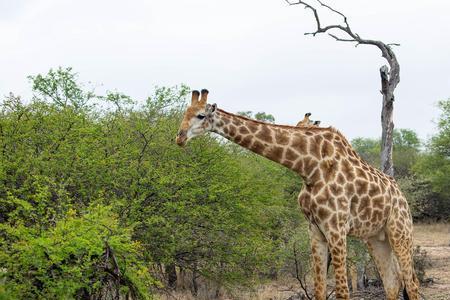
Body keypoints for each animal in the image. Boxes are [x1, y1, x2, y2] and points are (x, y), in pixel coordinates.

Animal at [175, 89, 418, 300]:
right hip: (376, 237)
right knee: (393, 282)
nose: (179, 137)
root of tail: (402, 197)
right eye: (184, 113)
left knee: (412, 283)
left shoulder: (337, 228)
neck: (310, 168)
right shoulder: (315, 229)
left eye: (200, 115)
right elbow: (319, 290)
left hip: (400, 232)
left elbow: (342, 292)